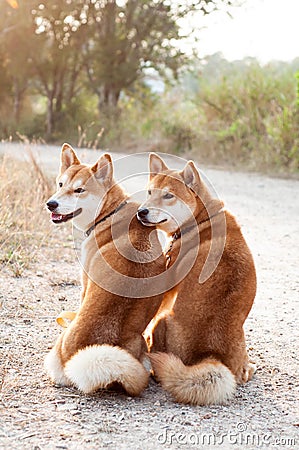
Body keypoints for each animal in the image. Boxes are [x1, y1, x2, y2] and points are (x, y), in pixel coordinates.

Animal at [137, 153, 256, 406]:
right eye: (150, 192)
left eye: (168, 195)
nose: (141, 211)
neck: (200, 221)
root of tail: (211, 354)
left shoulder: (167, 290)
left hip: (163, 319)